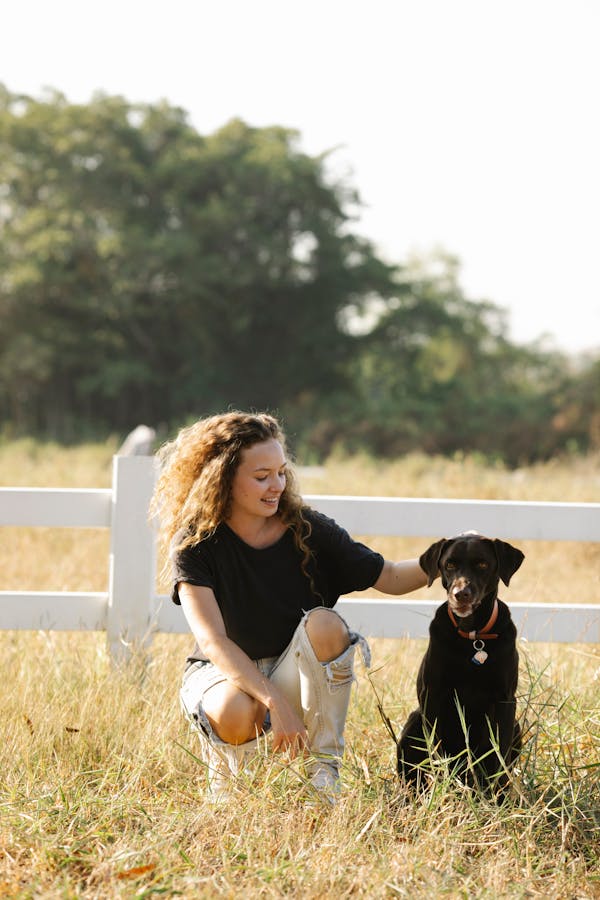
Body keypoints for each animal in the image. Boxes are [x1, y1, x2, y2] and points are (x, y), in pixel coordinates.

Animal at [398, 532, 524, 792]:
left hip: (517, 726)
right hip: (415, 719)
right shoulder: (433, 696)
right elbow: (437, 751)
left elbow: (499, 754)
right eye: (449, 565)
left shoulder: (505, 700)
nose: (461, 593)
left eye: (483, 564)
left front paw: (497, 795)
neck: (473, 637)